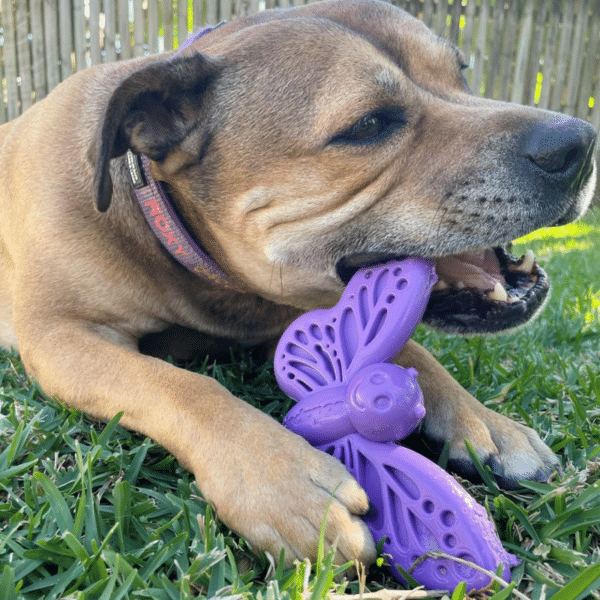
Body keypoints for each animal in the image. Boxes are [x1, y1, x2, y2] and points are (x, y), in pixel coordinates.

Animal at [0, 0, 596, 568]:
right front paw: (284, 482)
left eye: (462, 75)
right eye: (368, 125)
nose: (579, 143)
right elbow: (178, 385)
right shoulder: (60, 337)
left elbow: (412, 349)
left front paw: (486, 422)